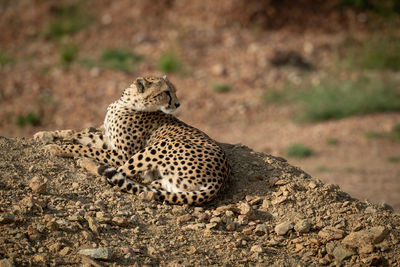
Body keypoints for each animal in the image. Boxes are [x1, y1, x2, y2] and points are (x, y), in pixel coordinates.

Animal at [44, 76, 231, 206]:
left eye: (174, 91)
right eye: (166, 92)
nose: (178, 104)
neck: (125, 103)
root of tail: (220, 179)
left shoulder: (121, 155)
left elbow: (88, 149)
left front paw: (57, 148)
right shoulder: (108, 141)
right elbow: (81, 136)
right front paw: (47, 135)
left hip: (161, 145)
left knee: (114, 175)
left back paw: (87, 163)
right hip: (172, 182)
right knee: (145, 182)